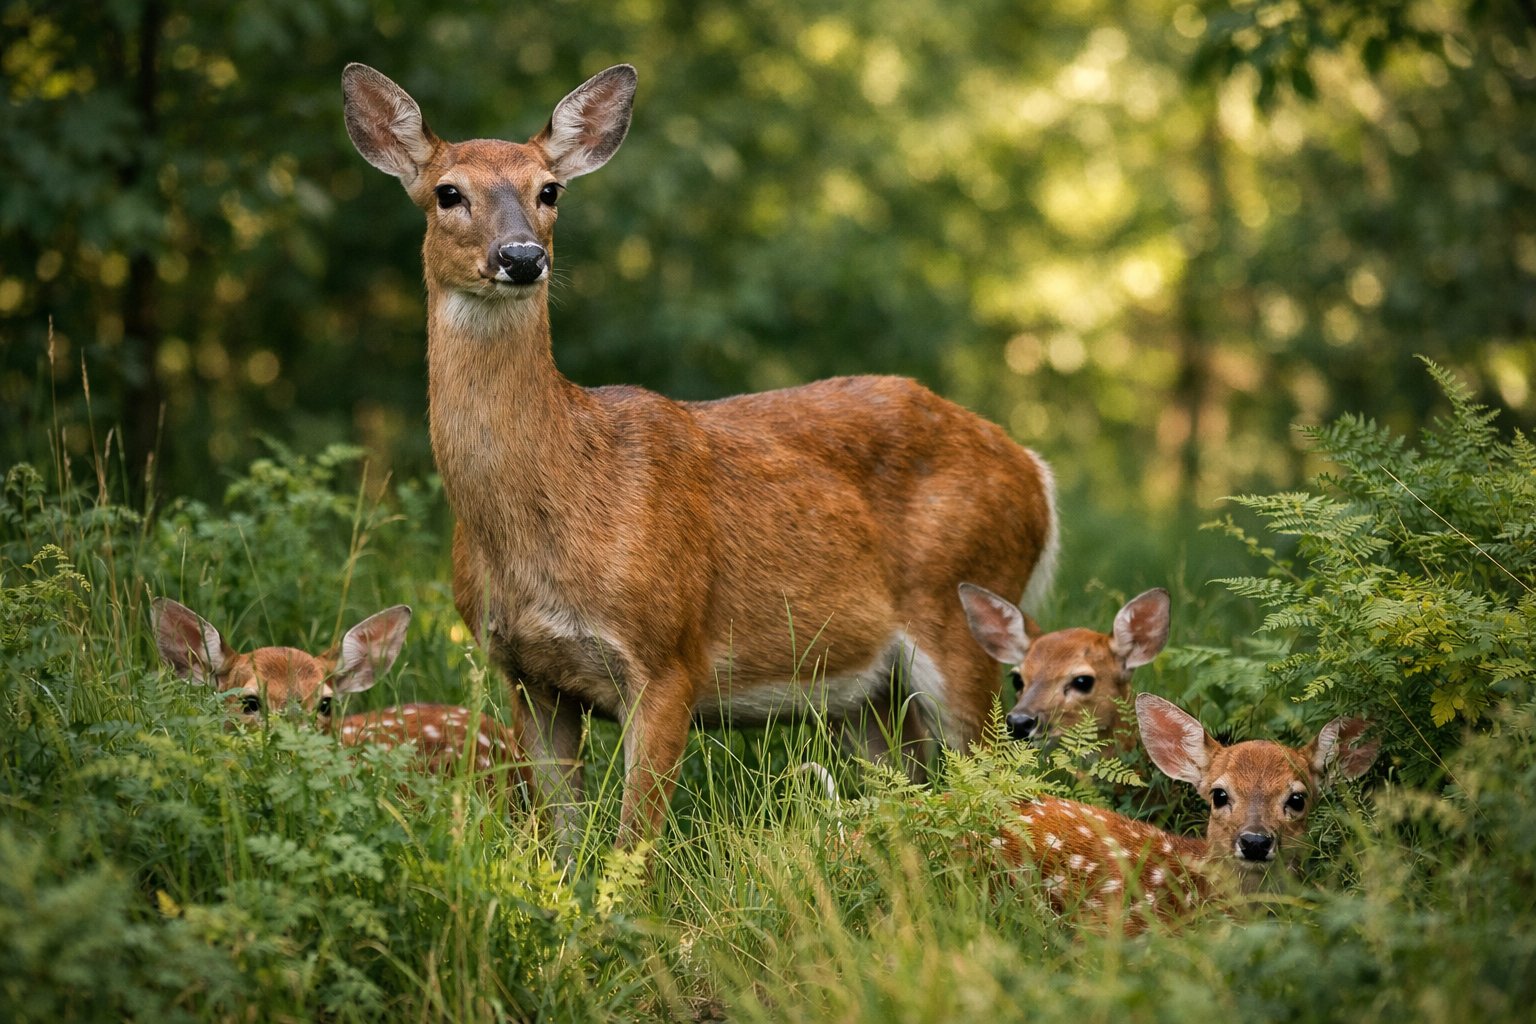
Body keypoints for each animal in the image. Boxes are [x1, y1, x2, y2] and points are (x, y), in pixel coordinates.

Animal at [340, 62, 1059, 847]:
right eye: (448, 192)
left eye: (549, 189)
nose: (523, 257)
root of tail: (1035, 471)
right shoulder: (525, 674)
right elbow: (562, 842)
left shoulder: (668, 655)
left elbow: (635, 843)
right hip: (867, 694)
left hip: (963, 619)